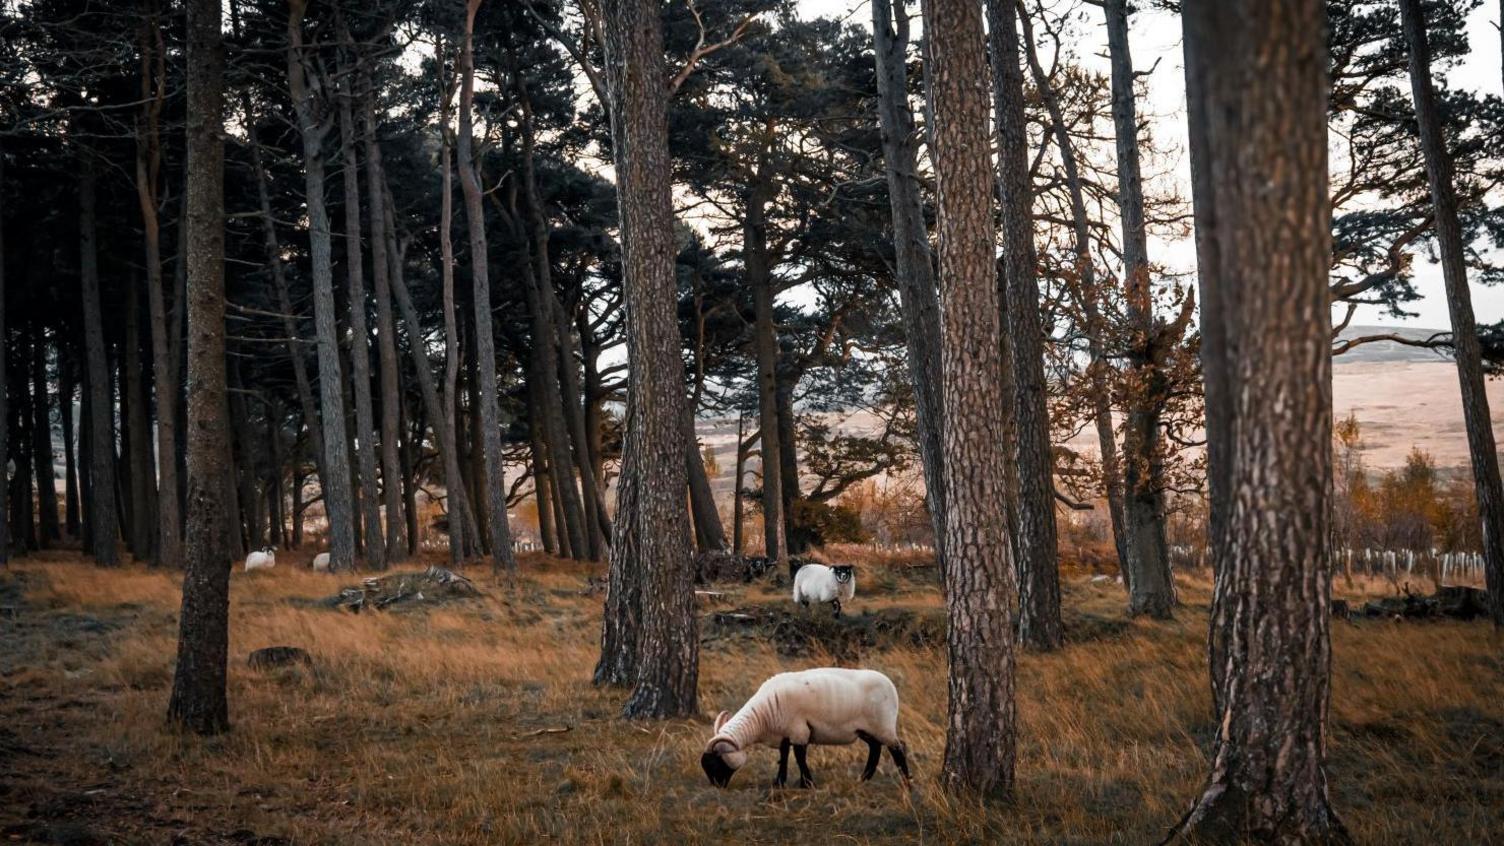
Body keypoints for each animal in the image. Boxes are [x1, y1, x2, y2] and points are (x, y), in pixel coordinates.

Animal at [700, 665, 908, 788]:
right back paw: (864, 779)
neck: (762, 715)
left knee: (897, 749)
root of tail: (891, 685)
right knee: (875, 749)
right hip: (866, 730)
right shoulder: (785, 734)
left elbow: (800, 757)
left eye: (714, 763)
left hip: (884, 725)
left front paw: (807, 784)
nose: (718, 787)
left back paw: (906, 781)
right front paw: (780, 782)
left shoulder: (799, 730)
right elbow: (784, 757)